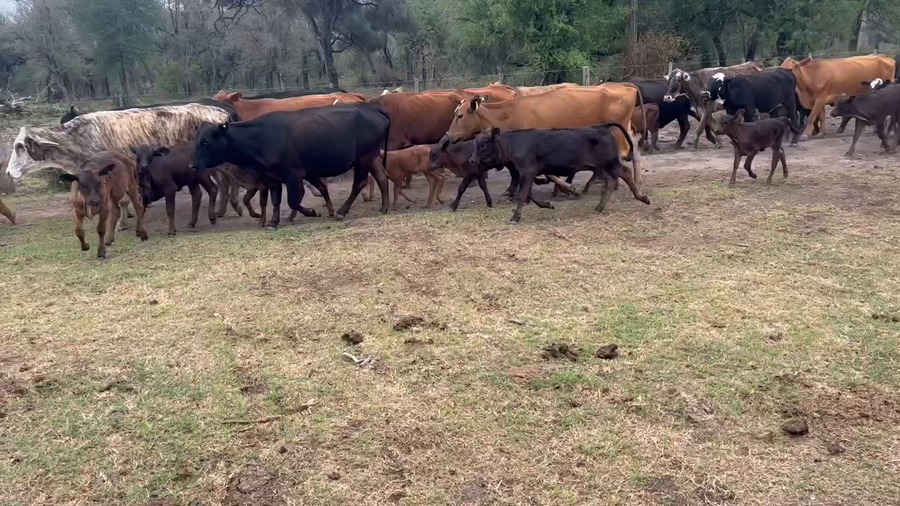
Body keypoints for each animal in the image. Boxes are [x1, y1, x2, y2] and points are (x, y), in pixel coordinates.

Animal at [7, 103, 232, 230]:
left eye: (20, 147)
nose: (8, 172)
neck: (79, 138)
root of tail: (220, 111)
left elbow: (121, 201)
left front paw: (119, 224)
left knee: (225, 183)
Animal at [189, 103, 392, 228]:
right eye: (196, 140)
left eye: (206, 141)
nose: (192, 165)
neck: (260, 137)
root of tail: (371, 107)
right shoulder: (272, 177)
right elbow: (276, 200)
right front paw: (273, 221)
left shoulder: (294, 174)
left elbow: (293, 200)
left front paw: (311, 212)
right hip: (372, 158)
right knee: (382, 178)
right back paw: (384, 207)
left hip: (363, 159)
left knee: (359, 183)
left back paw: (342, 211)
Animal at [446, 84, 650, 204]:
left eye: (460, 115)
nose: (448, 136)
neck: (509, 113)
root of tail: (625, 86)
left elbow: (544, 173)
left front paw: (566, 188)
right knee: (633, 152)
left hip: (616, 134)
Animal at [468, 123, 634, 224]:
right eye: (475, 144)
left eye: (483, 144)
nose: (471, 160)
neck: (514, 143)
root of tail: (602, 126)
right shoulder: (526, 173)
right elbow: (529, 194)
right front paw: (547, 205)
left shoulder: (528, 171)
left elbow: (523, 194)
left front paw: (515, 217)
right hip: (599, 167)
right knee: (611, 180)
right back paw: (600, 206)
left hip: (610, 163)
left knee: (626, 172)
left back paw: (639, 197)